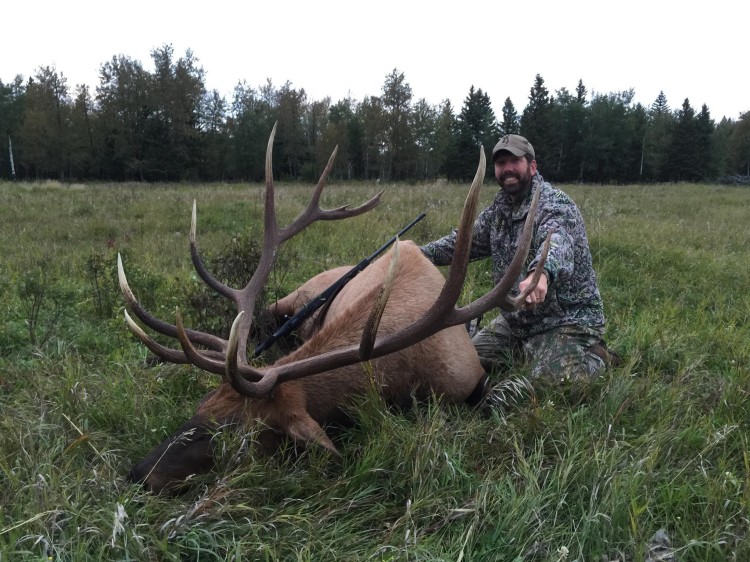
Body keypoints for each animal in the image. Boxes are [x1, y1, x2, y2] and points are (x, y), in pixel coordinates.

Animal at [118, 124, 550, 494]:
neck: (405, 377)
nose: (138, 473)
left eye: (235, 434)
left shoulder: (472, 380)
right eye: (200, 405)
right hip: (293, 297)